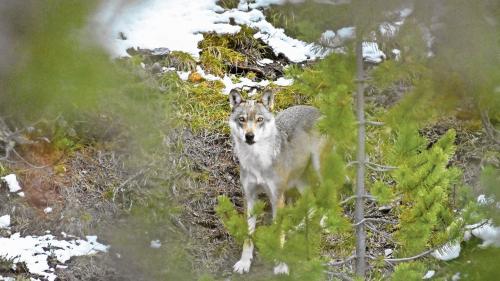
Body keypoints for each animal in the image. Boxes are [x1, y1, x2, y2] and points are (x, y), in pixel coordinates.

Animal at [228, 89, 322, 274]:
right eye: (242, 119)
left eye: (259, 119)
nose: (249, 136)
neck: (257, 162)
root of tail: (317, 109)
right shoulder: (250, 197)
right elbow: (248, 235)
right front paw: (244, 262)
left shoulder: (276, 198)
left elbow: (279, 234)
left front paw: (281, 265)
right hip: (299, 181)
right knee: (313, 202)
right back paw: (299, 227)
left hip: (319, 168)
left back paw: (325, 222)